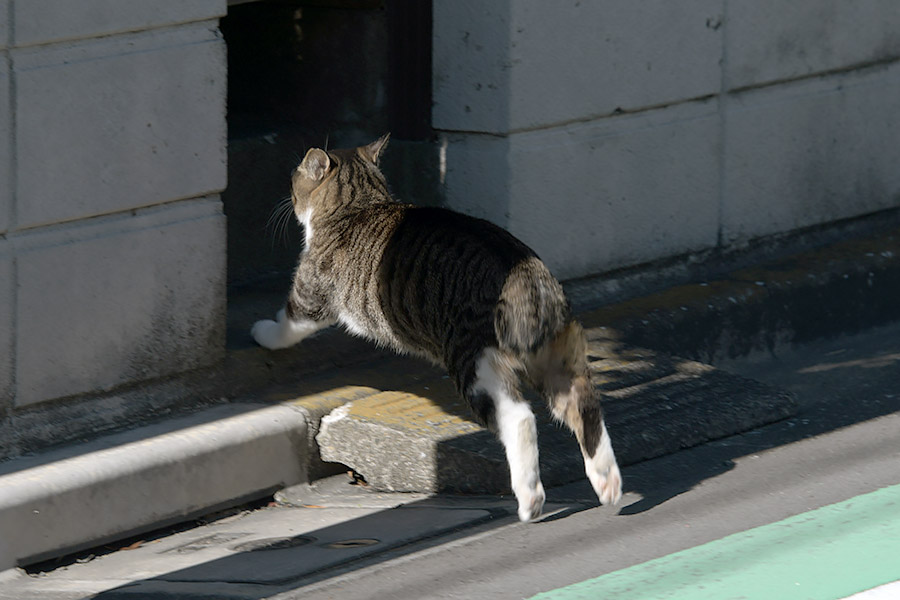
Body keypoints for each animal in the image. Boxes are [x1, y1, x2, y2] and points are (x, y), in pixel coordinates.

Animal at [250, 136, 624, 520]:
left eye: (294, 178)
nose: (287, 192)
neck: (359, 203)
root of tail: (527, 277)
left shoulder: (311, 294)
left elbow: (290, 321)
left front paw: (264, 333)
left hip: (473, 361)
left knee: (519, 418)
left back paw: (530, 499)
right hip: (558, 358)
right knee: (584, 404)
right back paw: (607, 482)